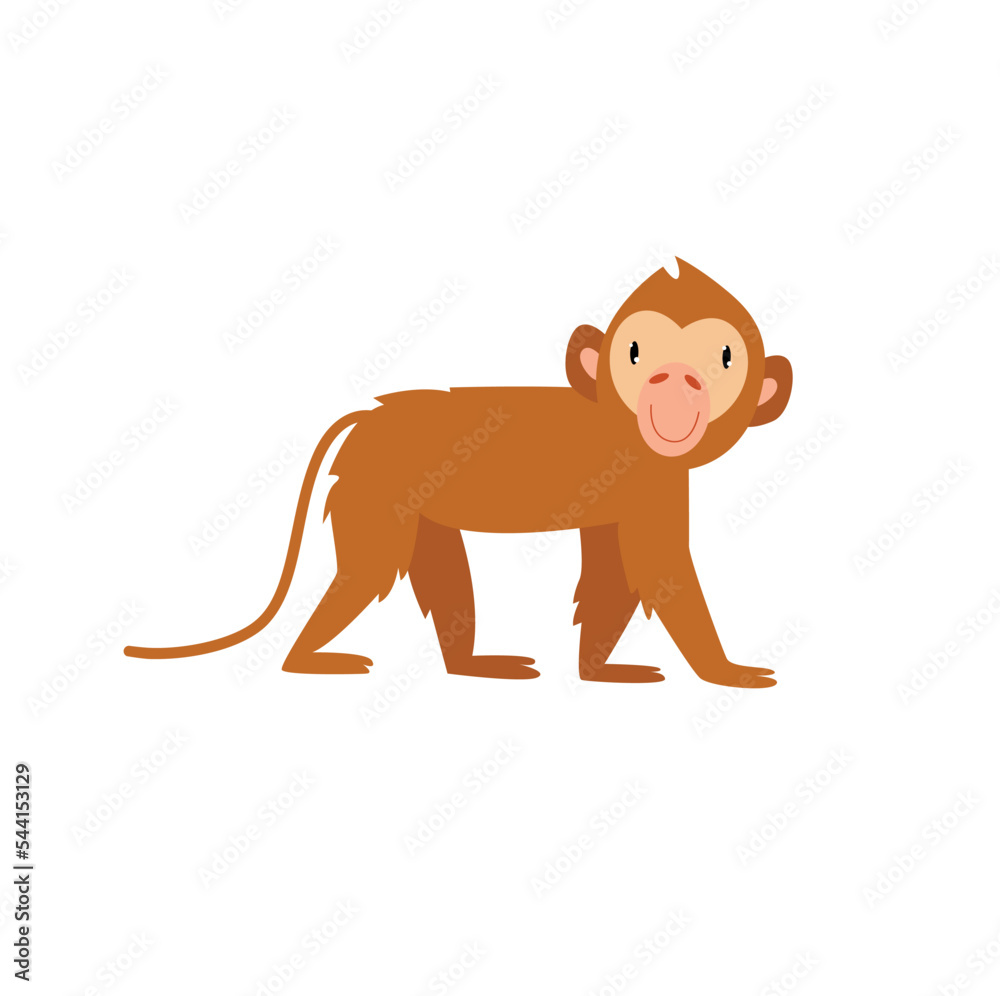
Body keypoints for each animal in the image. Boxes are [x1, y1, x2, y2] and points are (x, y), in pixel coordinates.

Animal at [125, 257, 792, 686]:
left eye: (724, 357)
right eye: (634, 352)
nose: (674, 377)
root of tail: (371, 419)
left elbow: (616, 573)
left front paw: (596, 669)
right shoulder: (652, 481)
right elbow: (663, 573)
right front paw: (723, 671)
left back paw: (468, 665)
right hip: (375, 484)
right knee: (367, 573)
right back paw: (307, 658)